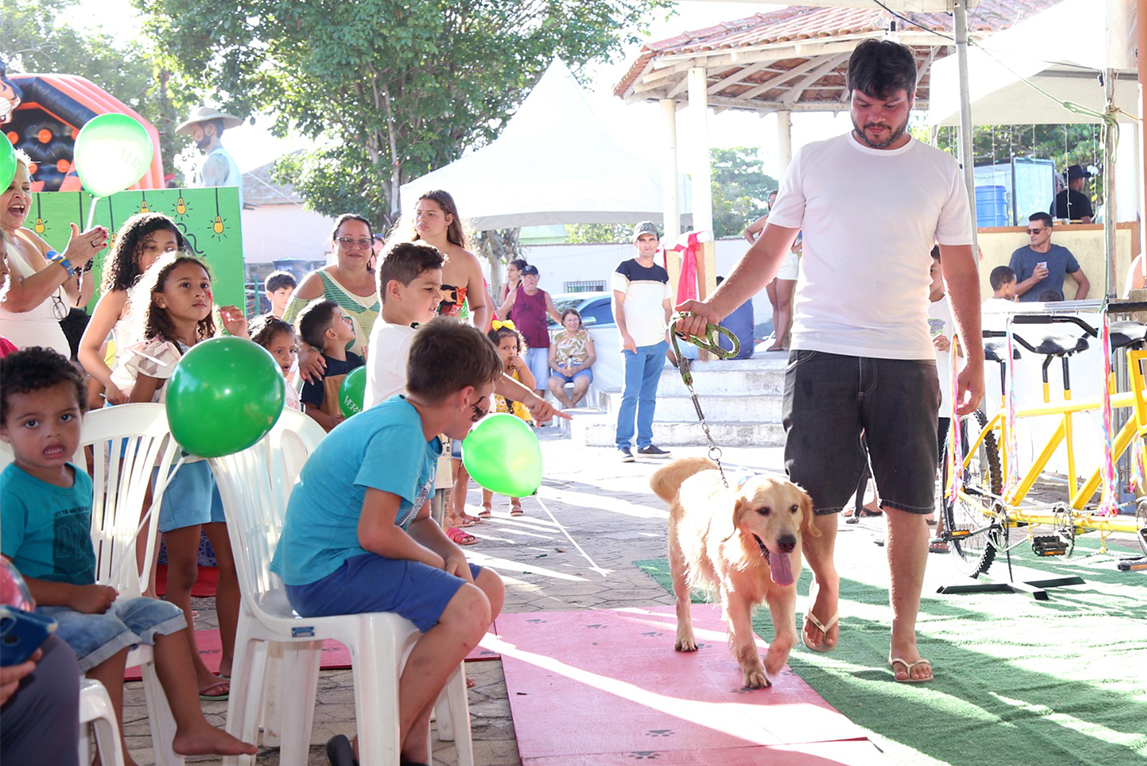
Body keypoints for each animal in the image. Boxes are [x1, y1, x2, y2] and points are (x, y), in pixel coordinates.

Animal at [656, 454, 816, 688]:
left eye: (794, 507)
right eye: (763, 510)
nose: (788, 543)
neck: (756, 560)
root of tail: (703, 470)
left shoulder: (784, 592)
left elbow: (787, 635)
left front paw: (773, 661)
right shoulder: (734, 594)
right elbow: (746, 637)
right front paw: (754, 672)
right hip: (680, 565)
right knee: (682, 602)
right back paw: (685, 637)